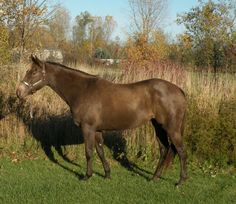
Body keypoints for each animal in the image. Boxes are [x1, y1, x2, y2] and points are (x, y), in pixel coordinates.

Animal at [15, 55, 187, 186]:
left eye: (34, 72)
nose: (19, 92)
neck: (83, 90)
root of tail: (178, 90)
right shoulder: (97, 130)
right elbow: (100, 151)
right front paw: (107, 174)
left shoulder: (88, 128)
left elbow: (89, 152)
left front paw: (87, 176)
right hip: (158, 126)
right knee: (164, 149)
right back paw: (154, 178)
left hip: (171, 128)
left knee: (181, 151)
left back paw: (181, 182)